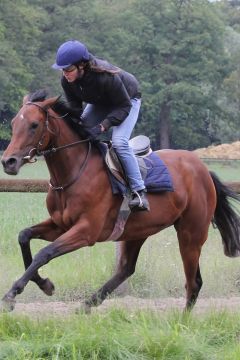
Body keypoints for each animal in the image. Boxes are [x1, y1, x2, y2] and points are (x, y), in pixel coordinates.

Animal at [0, 91, 240, 314]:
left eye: (34, 125)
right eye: (13, 123)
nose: (8, 161)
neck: (74, 173)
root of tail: (203, 169)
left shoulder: (86, 231)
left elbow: (44, 253)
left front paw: (12, 294)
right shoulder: (60, 224)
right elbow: (24, 236)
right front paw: (44, 284)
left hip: (191, 233)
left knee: (194, 282)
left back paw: (181, 322)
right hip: (137, 230)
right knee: (126, 268)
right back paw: (87, 304)